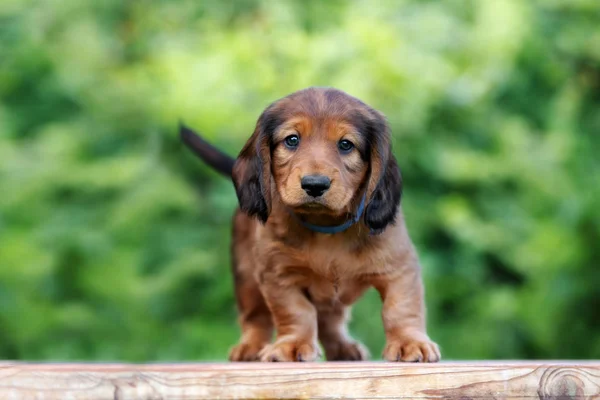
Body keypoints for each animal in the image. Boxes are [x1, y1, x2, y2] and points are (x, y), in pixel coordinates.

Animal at [180, 87, 438, 362]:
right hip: (246, 276)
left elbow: (400, 307)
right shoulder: (279, 275)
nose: (315, 185)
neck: (326, 228)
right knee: (255, 316)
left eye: (346, 144)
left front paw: (410, 342)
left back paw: (342, 348)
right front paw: (292, 344)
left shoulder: (399, 268)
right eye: (292, 140)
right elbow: (295, 311)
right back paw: (250, 346)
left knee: (330, 320)